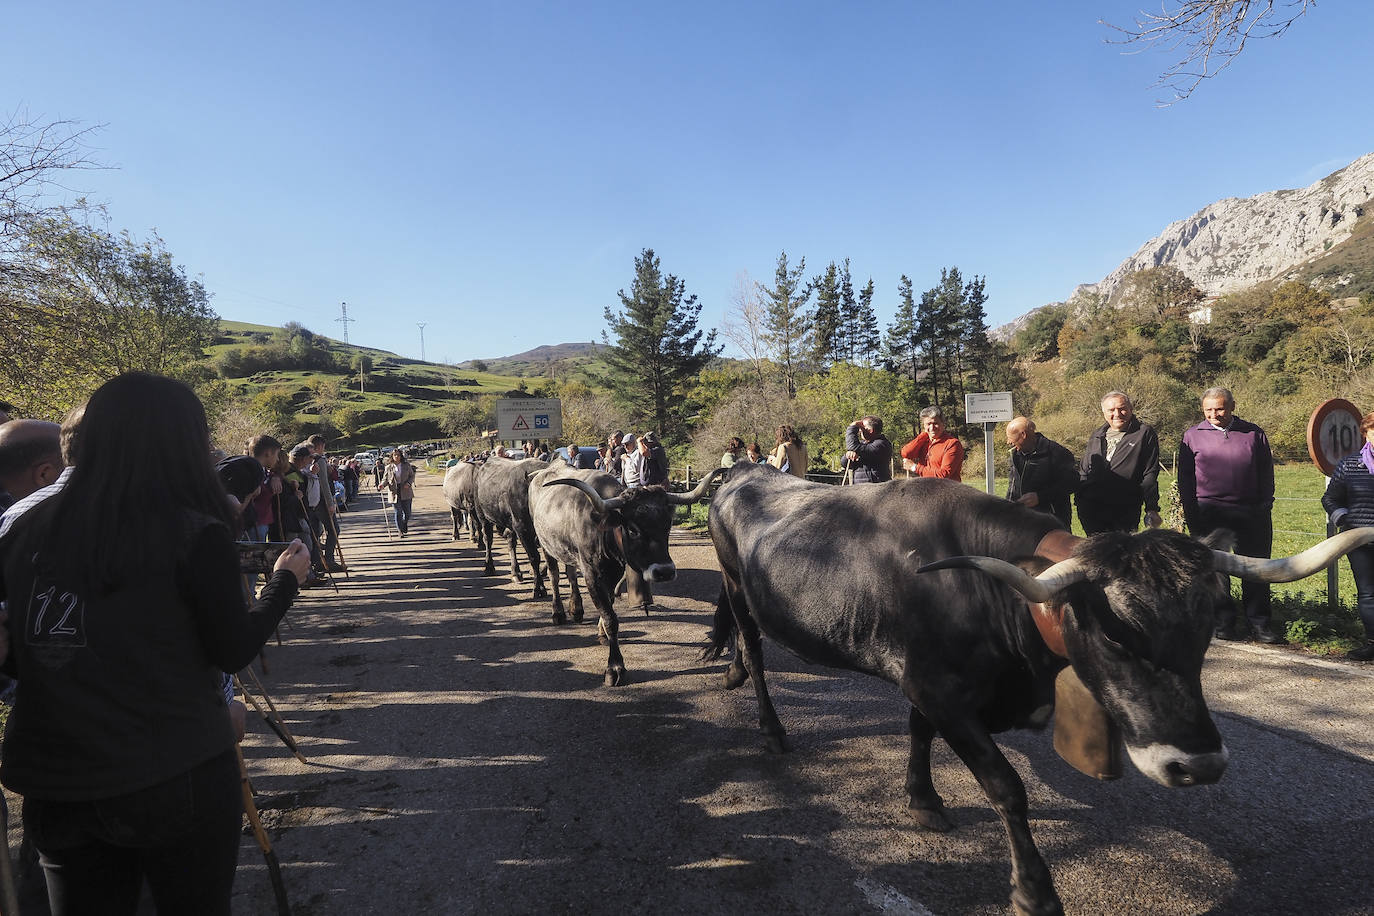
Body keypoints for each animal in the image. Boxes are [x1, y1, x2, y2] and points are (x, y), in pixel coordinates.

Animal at [475, 455, 549, 598]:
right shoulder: (523, 528)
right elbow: (534, 557)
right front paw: (539, 587)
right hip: (483, 516)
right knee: (488, 539)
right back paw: (489, 567)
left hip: (509, 523)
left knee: (511, 542)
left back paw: (516, 572)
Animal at [527, 469, 725, 683]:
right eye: (633, 529)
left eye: (668, 525)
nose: (664, 571)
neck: (603, 533)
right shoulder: (592, 575)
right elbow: (610, 618)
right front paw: (615, 667)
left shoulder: (613, 573)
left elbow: (609, 604)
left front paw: (602, 633)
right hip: (547, 546)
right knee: (554, 576)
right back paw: (558, 612)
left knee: (570, 574)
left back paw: (576, 609)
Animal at [703, 466, 1368, 916]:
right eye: (1115, 634)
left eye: (1207, 628)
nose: (1198, 764)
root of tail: (744, 472)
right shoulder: (942, 693)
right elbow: (1007, 787)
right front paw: (1034, 891)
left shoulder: (931, 686)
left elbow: (918, 732)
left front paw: (923, 799)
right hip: (736, 584)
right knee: (753, 649)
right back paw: (770, 726)